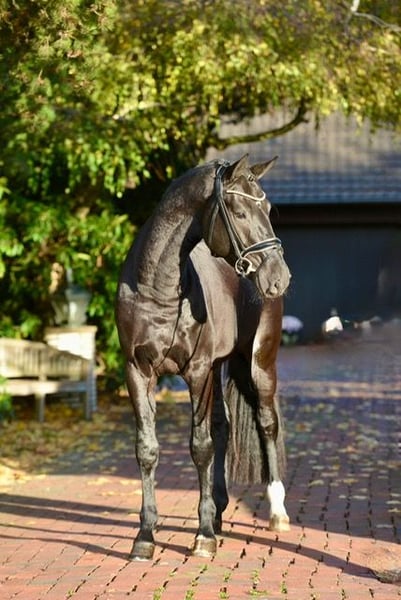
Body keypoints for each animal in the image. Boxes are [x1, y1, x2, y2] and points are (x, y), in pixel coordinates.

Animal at [116, 154, 291, 560]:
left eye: (268, 210)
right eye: (239, 211)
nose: (280, 277)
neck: (158, 290)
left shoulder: (197, 371)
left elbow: (200, 447)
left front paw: (203, 536)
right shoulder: (137, 372)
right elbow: (148, 450)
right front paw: (145, 537)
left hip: (258, 365)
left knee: (266, 424)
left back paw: (276, 512)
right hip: (222, 366)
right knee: (224, 427)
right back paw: (220, 511)